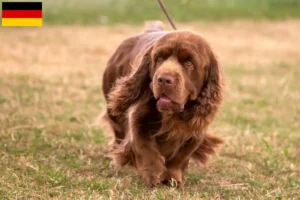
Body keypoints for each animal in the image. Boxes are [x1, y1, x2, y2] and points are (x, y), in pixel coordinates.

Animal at [102, 21, 224, 188]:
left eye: (189, 63)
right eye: (159, 58)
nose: (164, 79)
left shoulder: (197, 128)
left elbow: (181, 155)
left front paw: (173, 178)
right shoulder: (138, 117)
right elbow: (143, 145)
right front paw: (153, 174)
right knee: (119, 133)